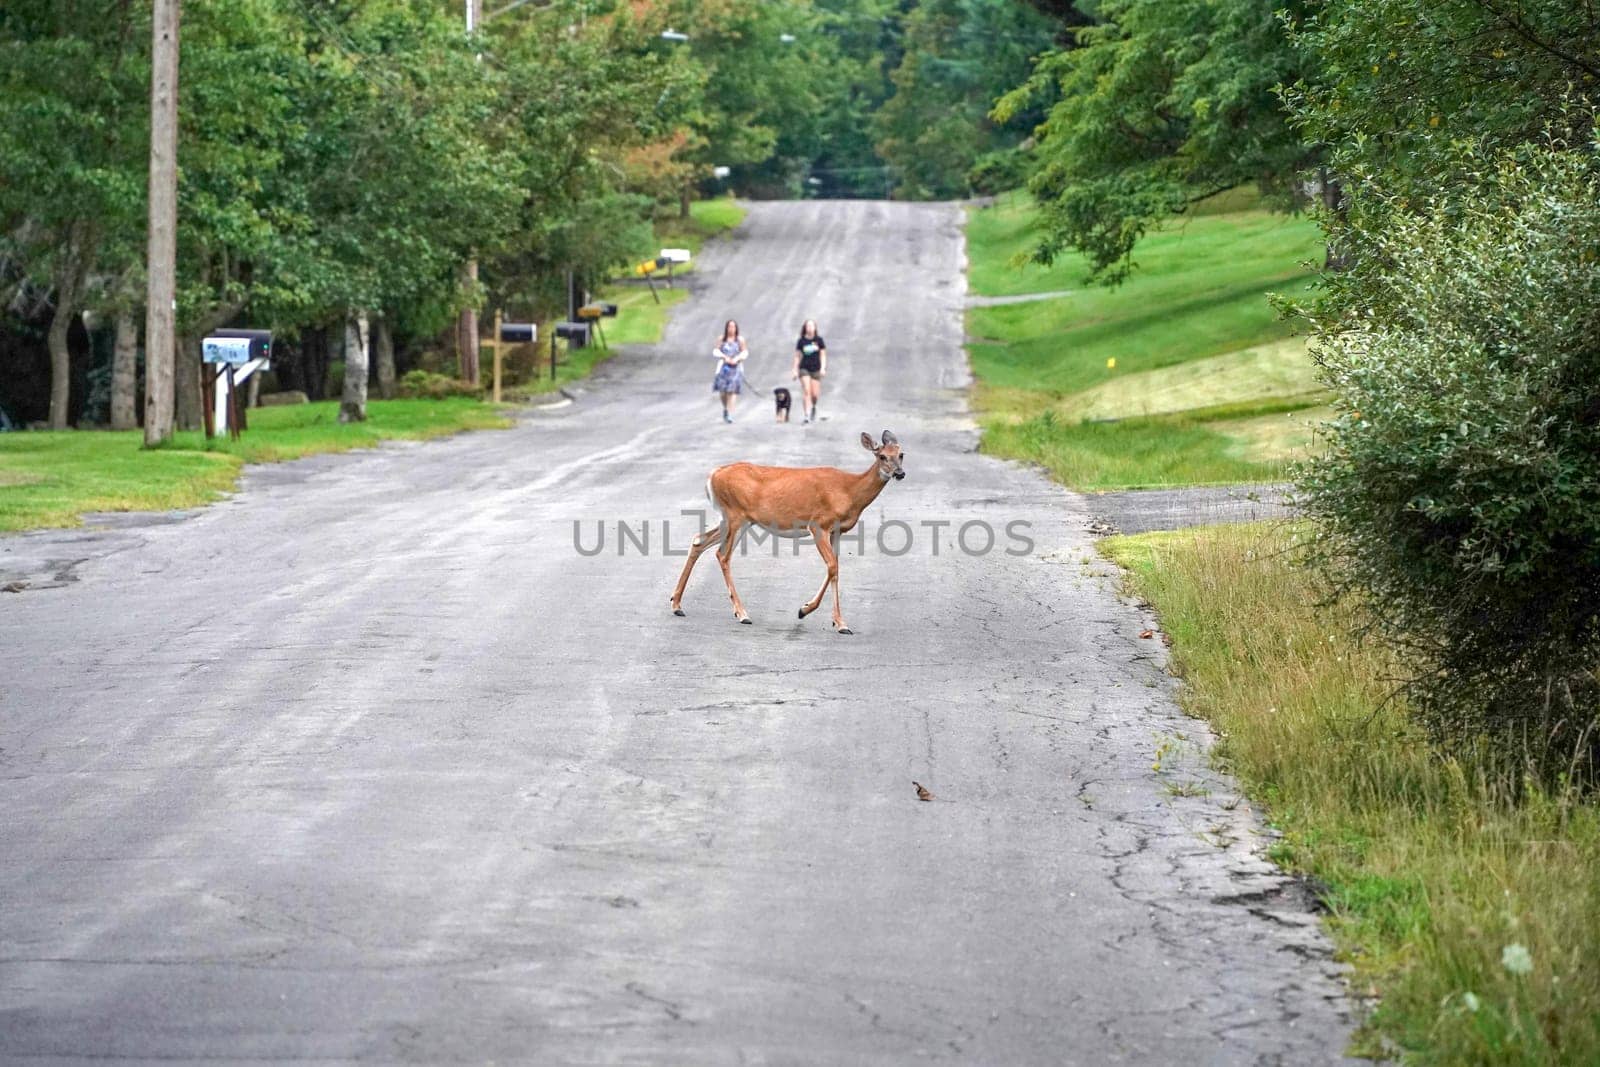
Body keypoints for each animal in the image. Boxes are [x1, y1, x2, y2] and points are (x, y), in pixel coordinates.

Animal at [668, 431, 908, 633]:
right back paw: (742, 613)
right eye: (882, 457)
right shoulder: (818, 524)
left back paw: (677, 604)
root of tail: (713, 475)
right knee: (722, 555)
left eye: (901, 454)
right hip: (736, 515)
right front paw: (805, 611)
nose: (900, 473)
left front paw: (839, 623)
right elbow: (832, 566)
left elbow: (836, 568)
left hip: (733, 519)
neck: (850, 492)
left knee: (699, 540)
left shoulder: (837, 531)